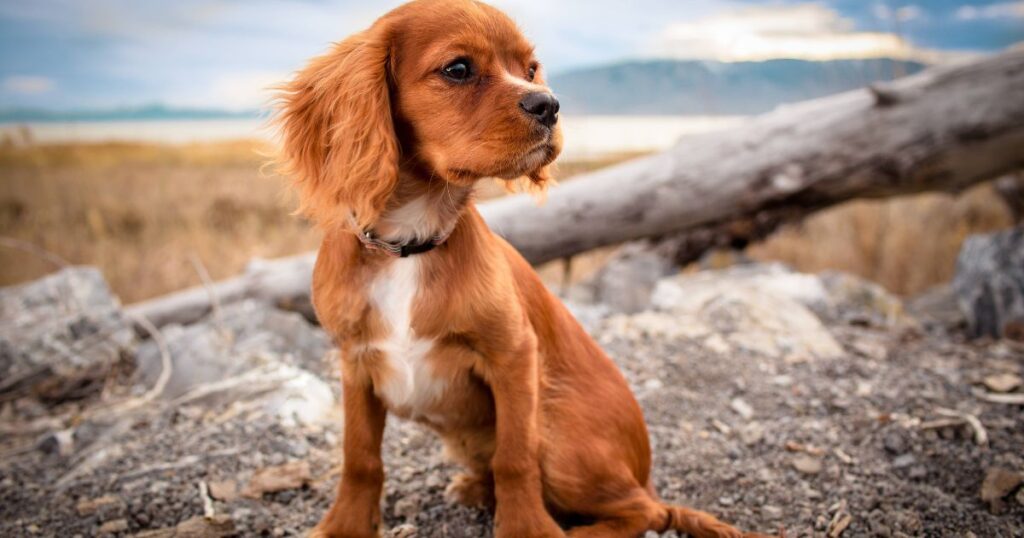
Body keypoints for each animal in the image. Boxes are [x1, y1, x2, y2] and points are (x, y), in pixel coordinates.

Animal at [276, 1, 770, 536]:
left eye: (530, 69)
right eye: (458, 69)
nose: (550, 105)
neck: (410, 244)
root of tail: (646, 474)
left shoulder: (513, 354)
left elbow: (515, 457)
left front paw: (525, 527)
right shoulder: (354, 361)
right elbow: (360, 456)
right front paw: (344, 524)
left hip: (558, 431)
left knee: (646, 510)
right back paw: (475, 490)